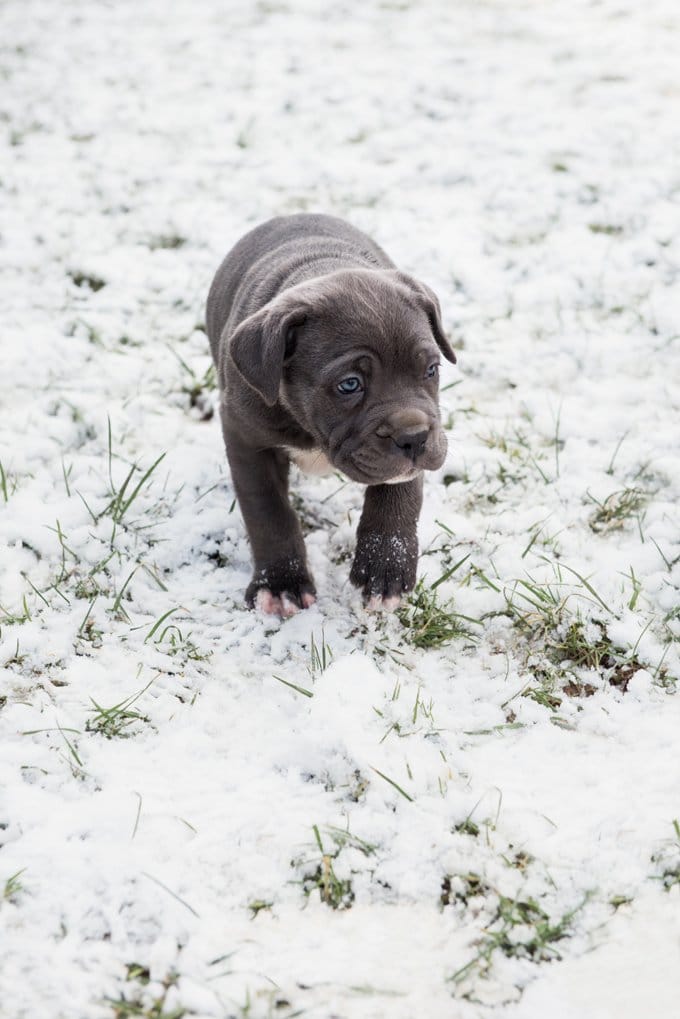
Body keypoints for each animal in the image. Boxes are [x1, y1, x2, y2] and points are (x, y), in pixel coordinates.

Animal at [204, 210, 454, 615]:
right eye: (349, 385)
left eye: (431, 370)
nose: (414, 439)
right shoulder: (246, 438)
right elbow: (267, 510)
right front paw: (280, 584)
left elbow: (399, 492)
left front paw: (385, 565)